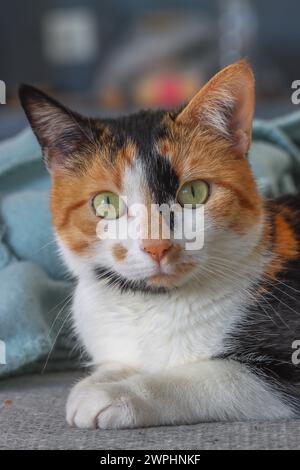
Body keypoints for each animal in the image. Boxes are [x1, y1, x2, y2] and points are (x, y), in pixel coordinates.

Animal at [19, 60, 300, 428]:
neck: (152, 305)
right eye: (105, 202)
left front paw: (114, 394)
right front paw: (99, 380)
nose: (156, 246)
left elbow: (213, 375)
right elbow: (114, 362)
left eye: (194, 192)